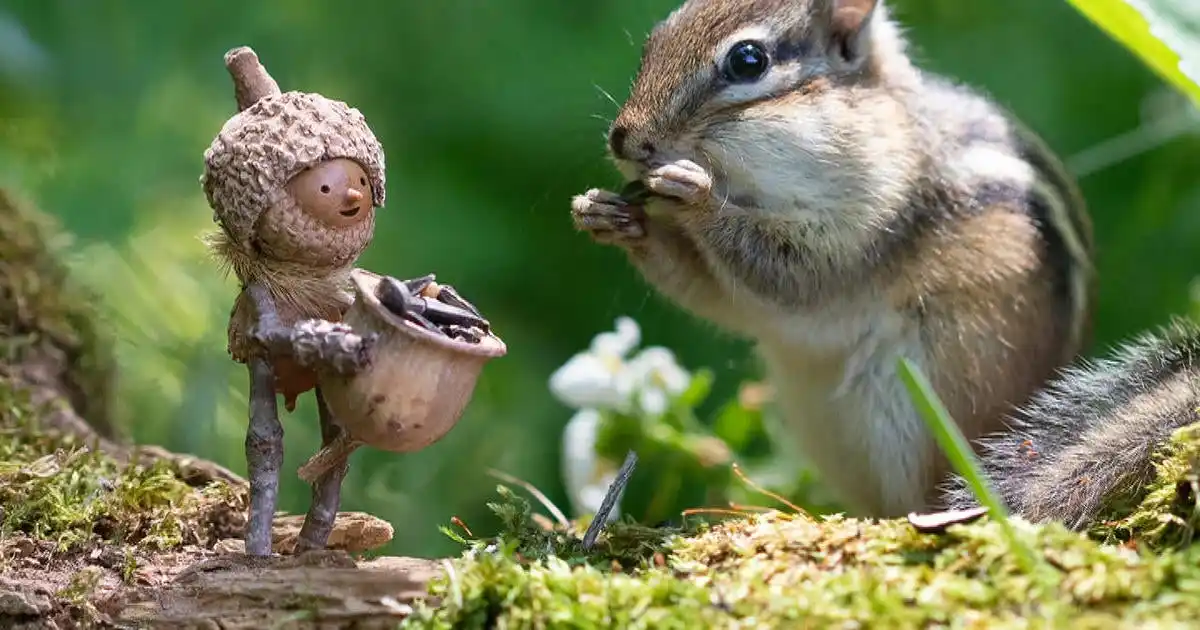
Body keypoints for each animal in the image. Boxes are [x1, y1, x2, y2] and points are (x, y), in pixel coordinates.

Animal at [571, 0, 1199, 526]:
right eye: (655, 37)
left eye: (748, 61)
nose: (624, 140)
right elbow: (723, 299)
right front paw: (608, 214)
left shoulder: (875, 213)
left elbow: (794, 273)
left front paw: (694, 193)